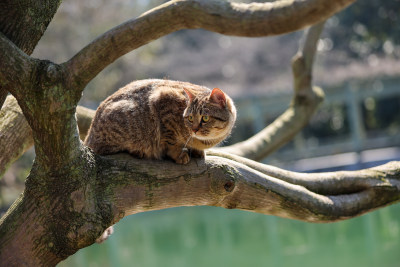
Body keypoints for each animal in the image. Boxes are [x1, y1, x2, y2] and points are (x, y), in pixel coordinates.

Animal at [83, 78, 236, 164]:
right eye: (190, 118)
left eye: (205, 118)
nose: (194, 129)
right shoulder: (163, 102)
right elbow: (171, 141)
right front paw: (178, 154)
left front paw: (197, 151)